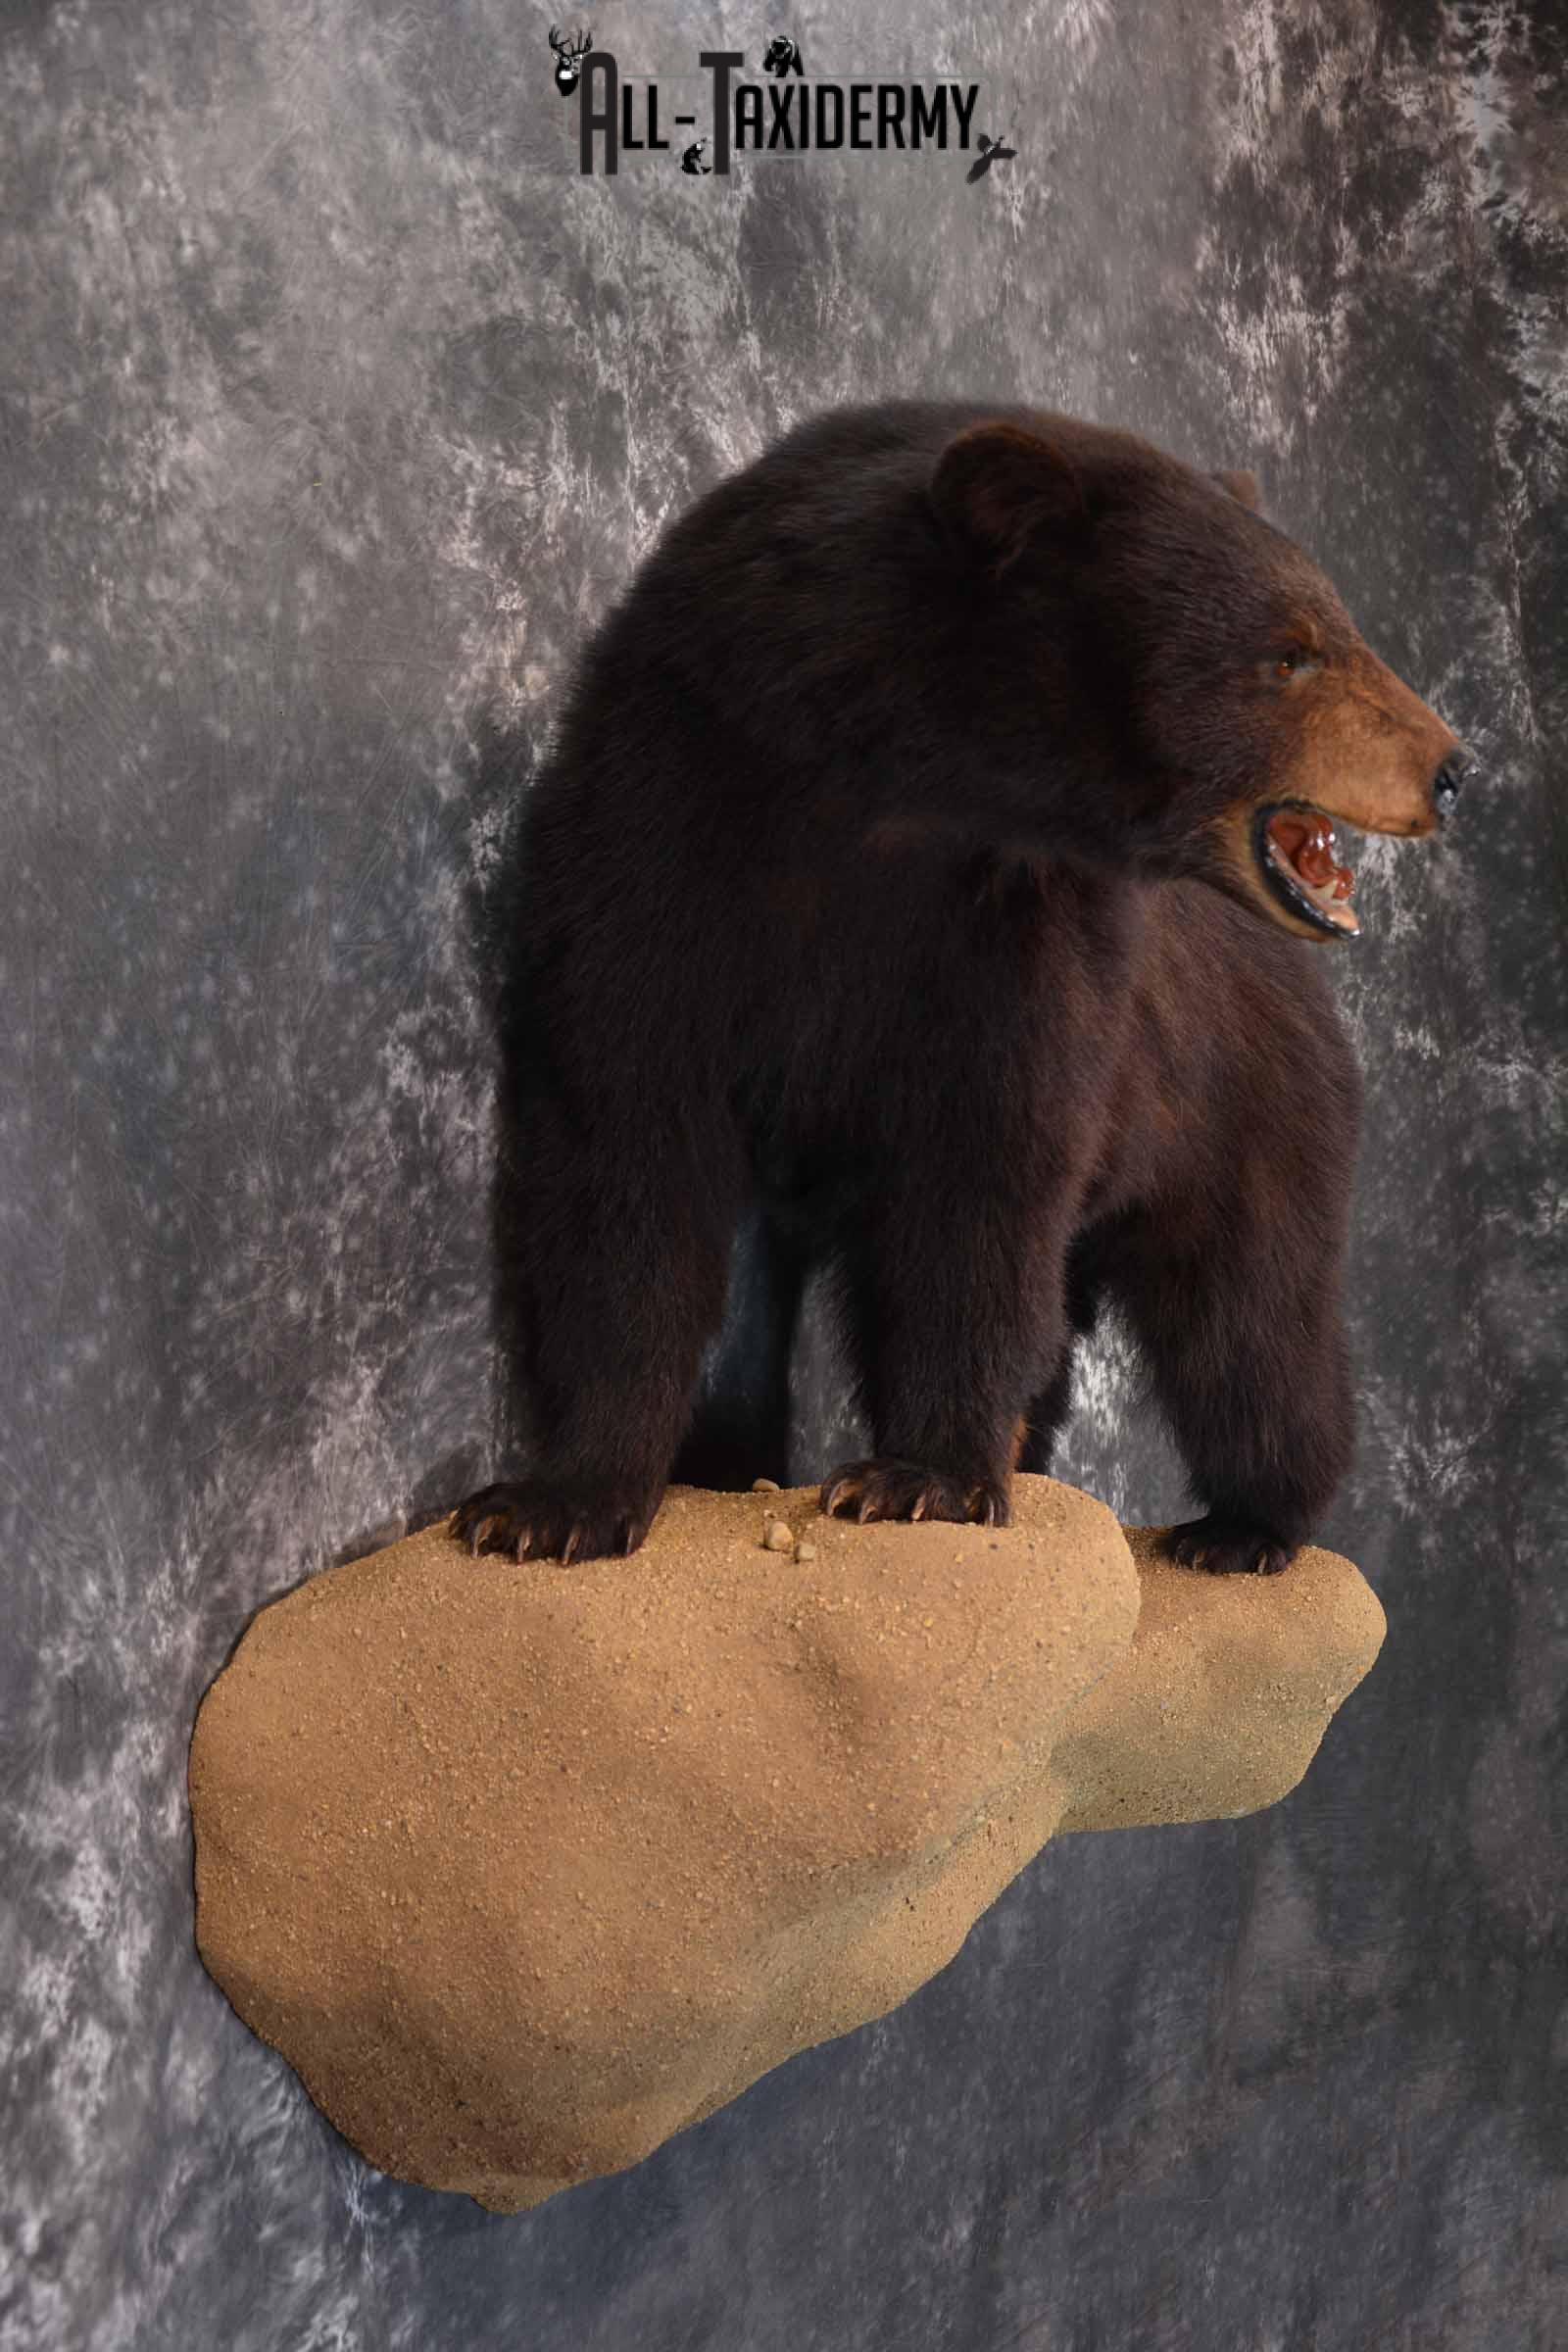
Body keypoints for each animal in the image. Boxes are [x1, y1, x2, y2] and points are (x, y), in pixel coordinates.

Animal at [451, 399, 1467, 1576]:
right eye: (1292, 655)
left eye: (1332, 629)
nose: (1452, 767)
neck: (884, 796)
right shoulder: (651, 847)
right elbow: (622, 1154)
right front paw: (552, 1502)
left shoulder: (1020, 944)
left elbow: (980, 1179)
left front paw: (918, 1478)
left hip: (1237, 1107)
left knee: (1249, 1316)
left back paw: (1246, 1525)